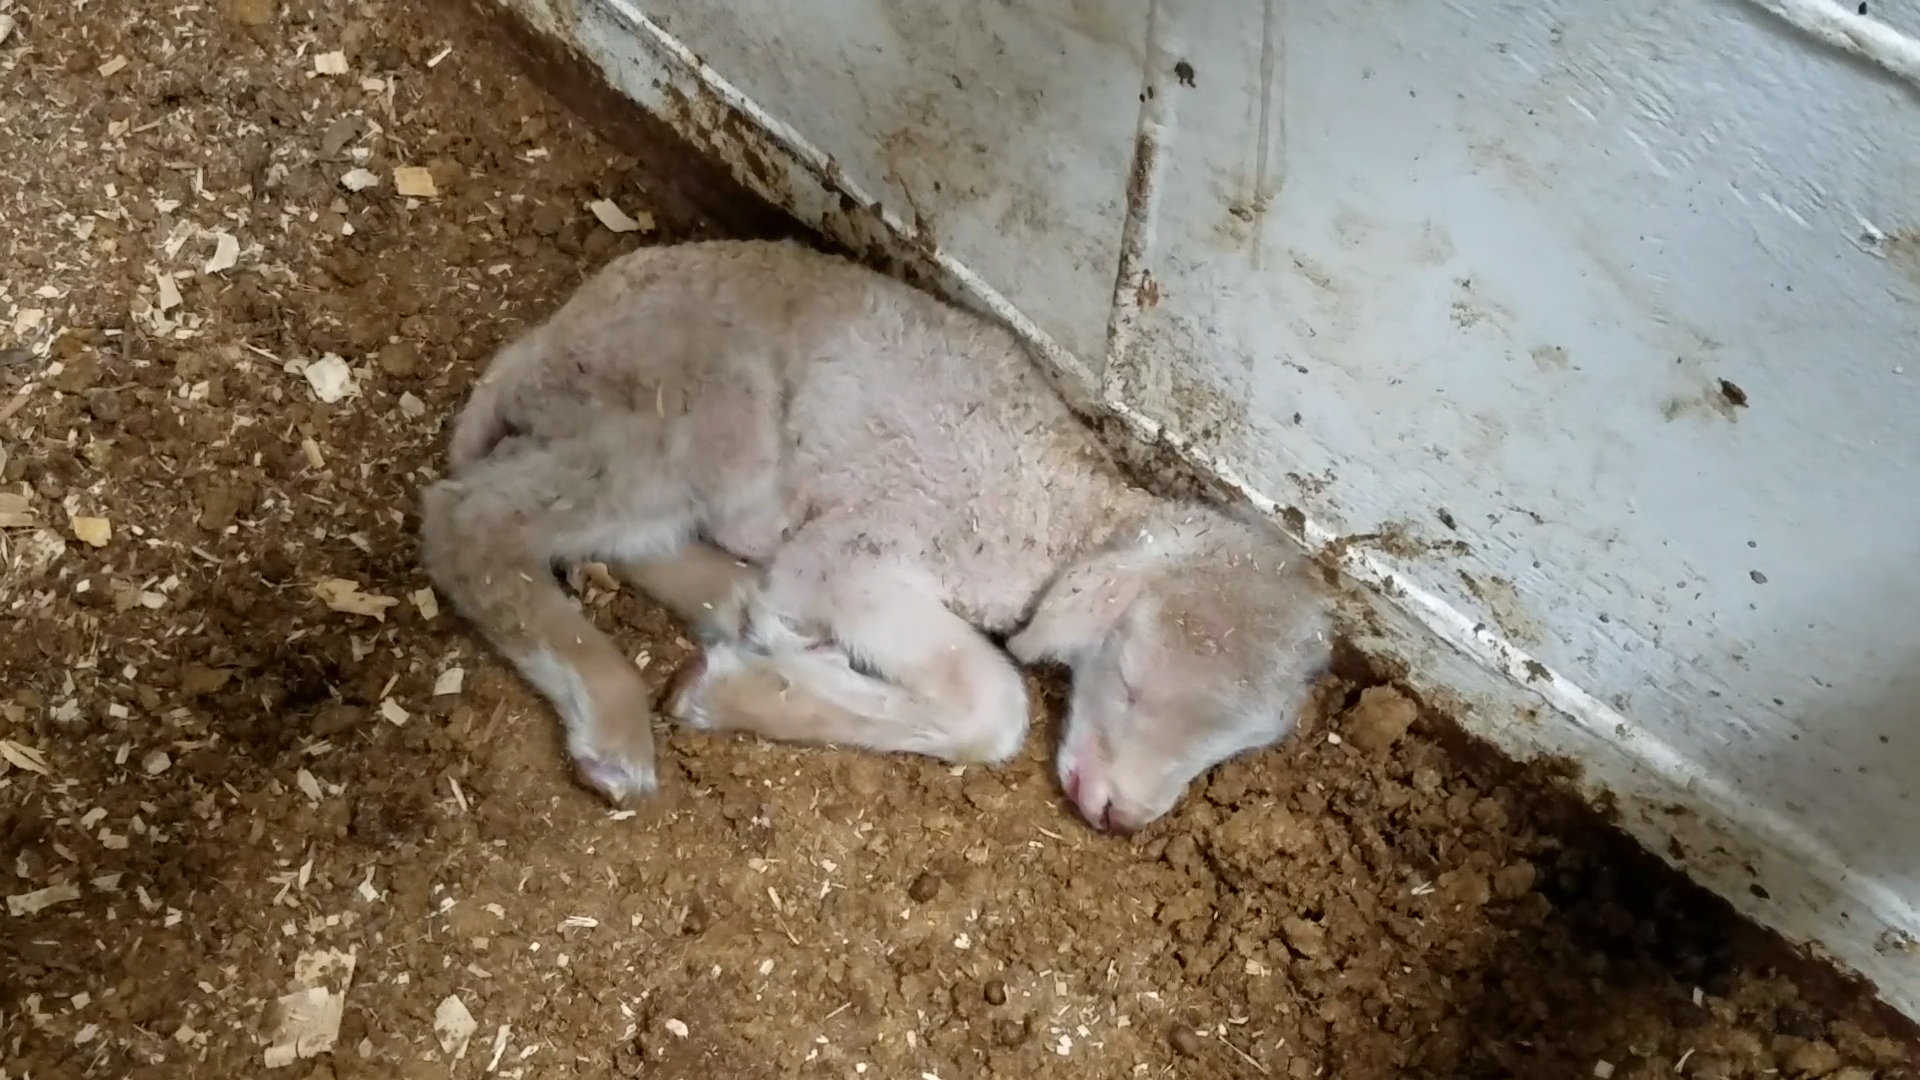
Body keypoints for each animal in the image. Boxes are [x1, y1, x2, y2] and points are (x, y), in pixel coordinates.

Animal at [416, 237, 1336, 834]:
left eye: (1232, 749)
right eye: (1135, 684)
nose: (1120, 817)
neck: (1060, 518)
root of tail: (545, 339)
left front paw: (765, 661)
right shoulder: (858, 555)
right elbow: (995, 707)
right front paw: (731, 691)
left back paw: (736, 611)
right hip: (688, 412)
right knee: (470, 519)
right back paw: (613, 728)